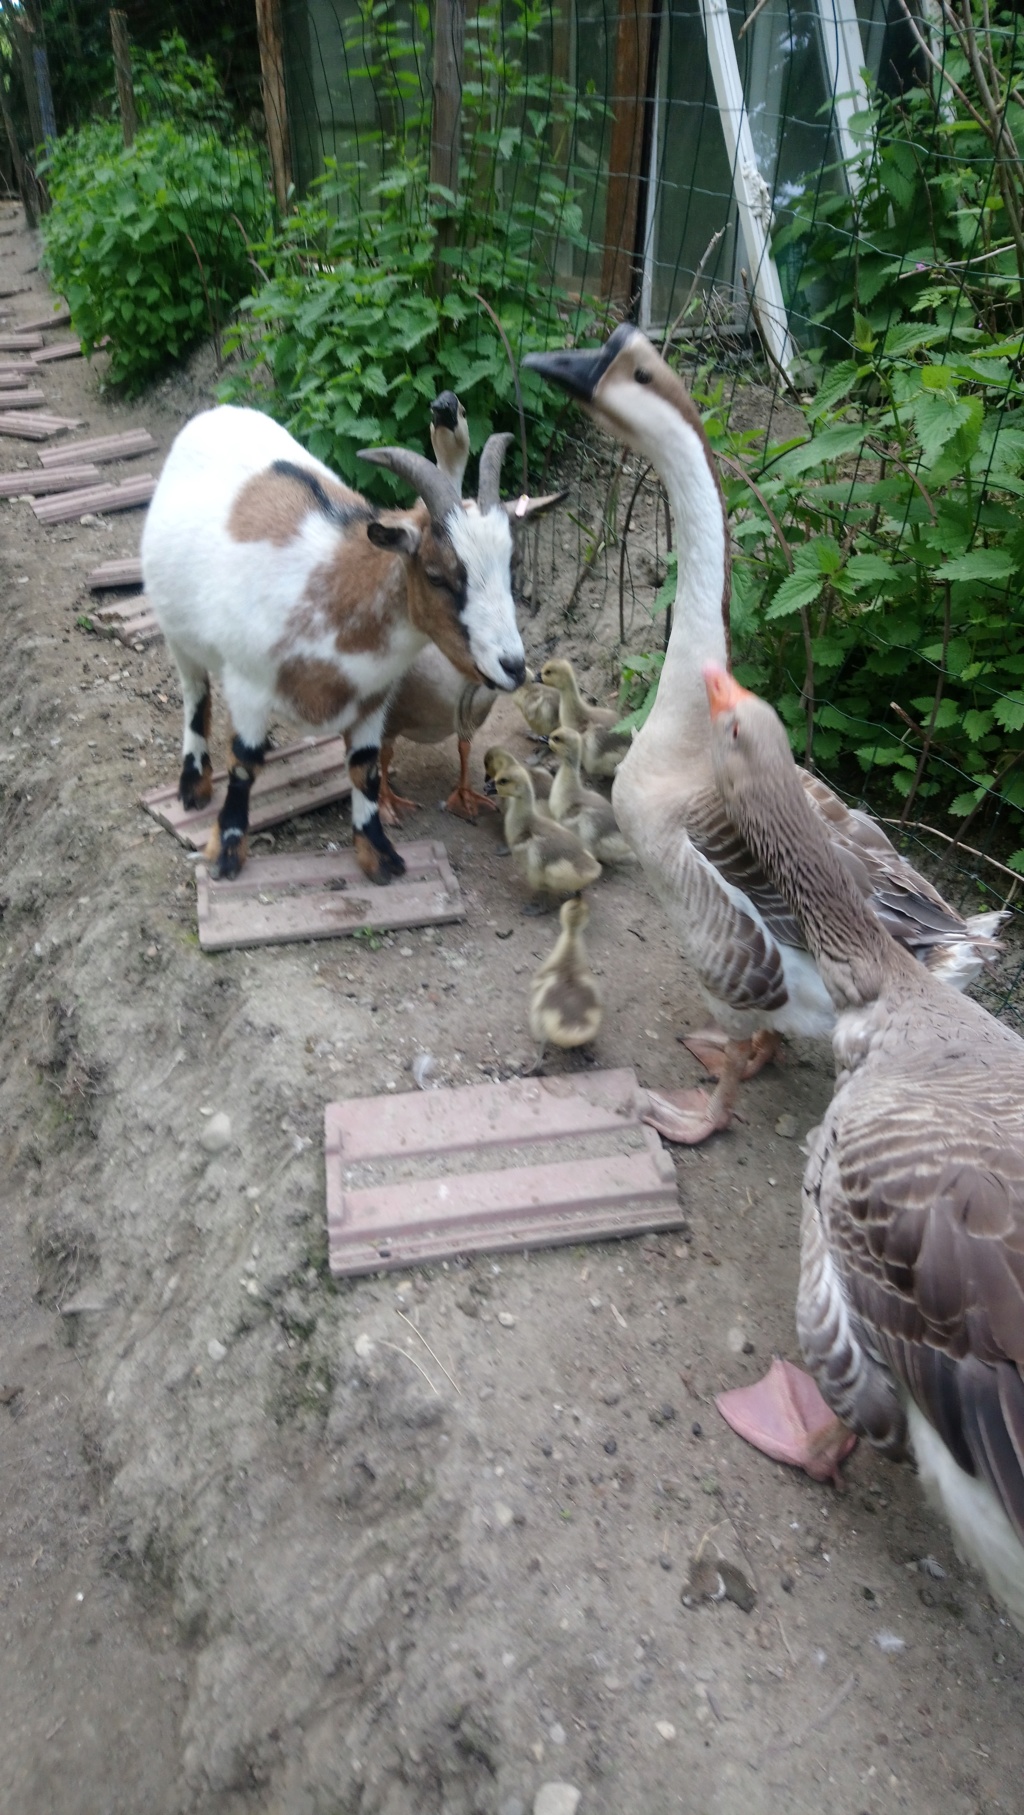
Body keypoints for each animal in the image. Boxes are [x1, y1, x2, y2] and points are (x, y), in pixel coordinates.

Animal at [139, 402, 533, 878]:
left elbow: (366, 770)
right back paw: (193, 784)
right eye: (436, 575)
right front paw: (227, 854)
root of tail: (220, 411)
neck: (329, 596)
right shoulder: (249, 683)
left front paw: (379, 855)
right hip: (177, 634)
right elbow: (244, 763)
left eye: (512, 567)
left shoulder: (373, 696)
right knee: (196, 698)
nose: (513, 666)